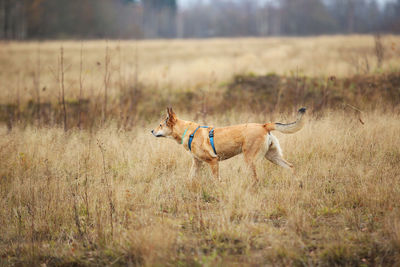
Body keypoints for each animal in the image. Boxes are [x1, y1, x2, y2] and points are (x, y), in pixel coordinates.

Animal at [151, 108, 306, 183]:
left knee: (256, 179)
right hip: (273, 157)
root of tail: (264, 125)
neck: (188, 132)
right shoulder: (197, 163)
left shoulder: (213, 161)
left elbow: (216, 180)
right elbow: (190, 178)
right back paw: (299, 183)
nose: (151, 131)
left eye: (160, 125)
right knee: (291, 167)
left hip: (250, 160)